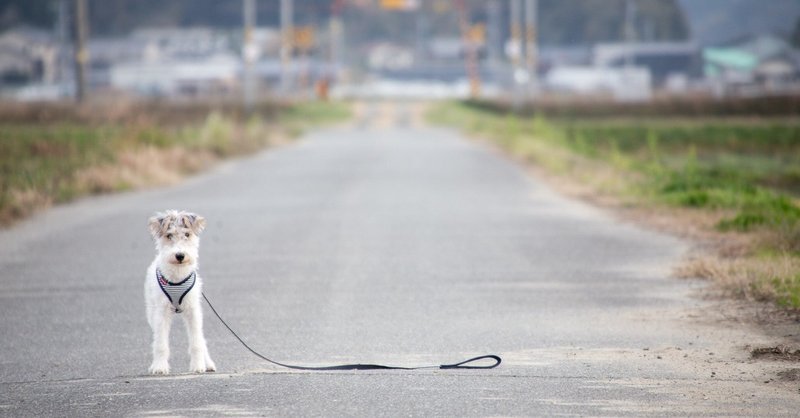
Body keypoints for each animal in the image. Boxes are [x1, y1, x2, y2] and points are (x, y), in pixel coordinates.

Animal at [145, 211, 216, 374]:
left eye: (187, 234)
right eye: (169, 235)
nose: (180, 255)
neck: (177, 275)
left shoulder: (193, 310)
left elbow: (196, 342)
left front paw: (198, 366)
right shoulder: (161, 312)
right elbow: (160, 343)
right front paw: (159, 367)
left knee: (201, 339)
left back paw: (208, 363)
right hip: (151, 312)